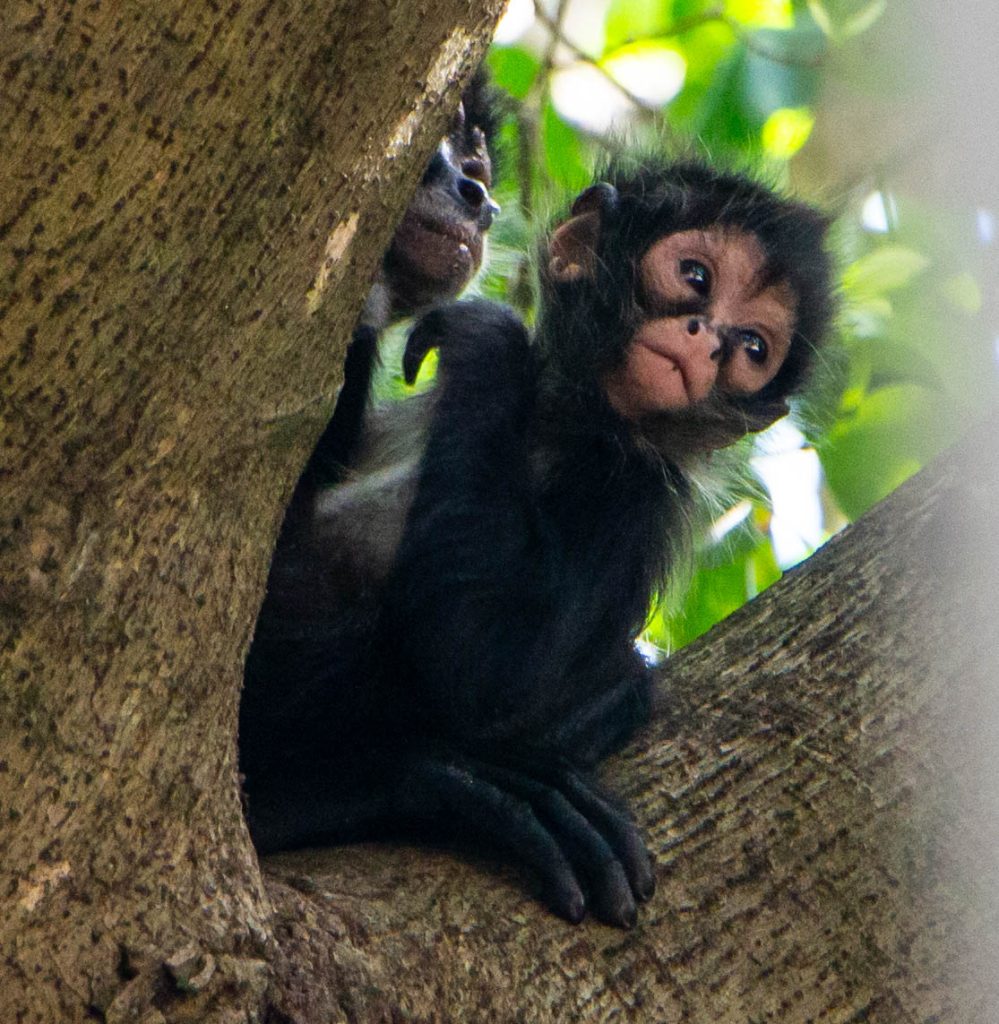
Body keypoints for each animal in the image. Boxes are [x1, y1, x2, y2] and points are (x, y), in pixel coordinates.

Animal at [239, 155, 835, 928]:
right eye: (696, 277)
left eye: (753, 347)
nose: (707, 336)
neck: (558, 414)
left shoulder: (628, 486)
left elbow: (490, 682)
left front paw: (489, 336)